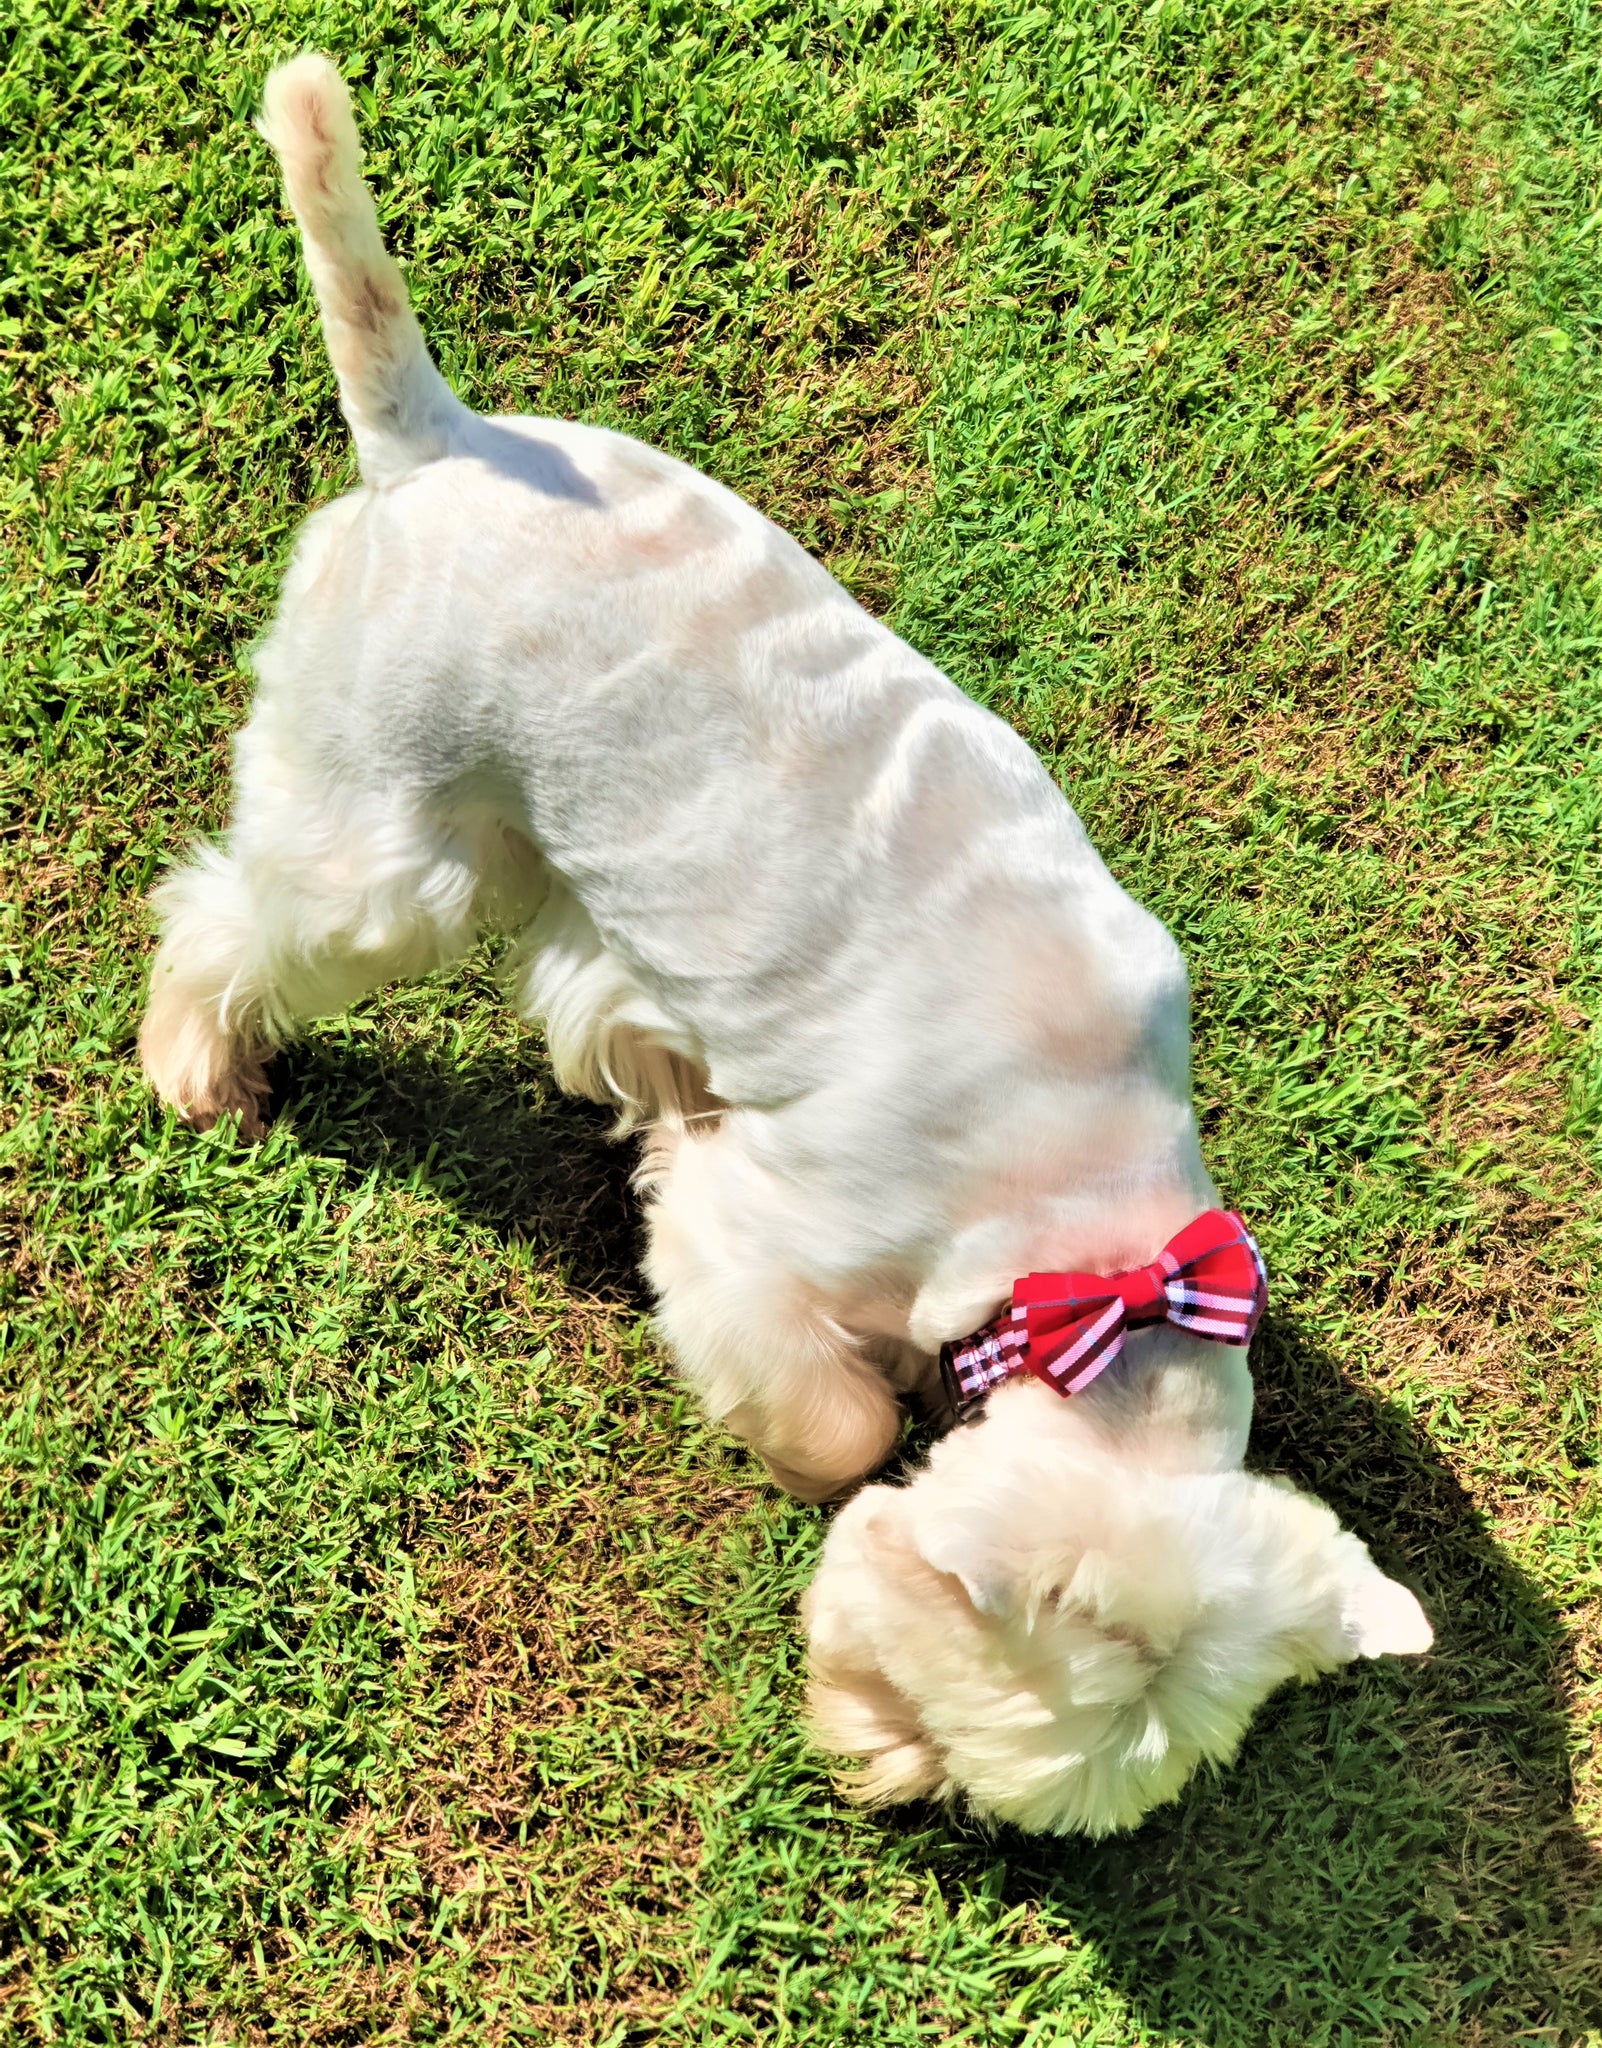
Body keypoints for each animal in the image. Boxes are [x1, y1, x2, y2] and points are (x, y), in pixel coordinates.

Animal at [144, 51, 1434, 1843]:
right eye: (926, 1698)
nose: (873, 1782)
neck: (1084, 1224)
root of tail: (438, 438)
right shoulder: (768, 1236)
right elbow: (830, 1416)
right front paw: (832, 1436)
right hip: (386, 859)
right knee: (235, 916)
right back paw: (199, 1061)